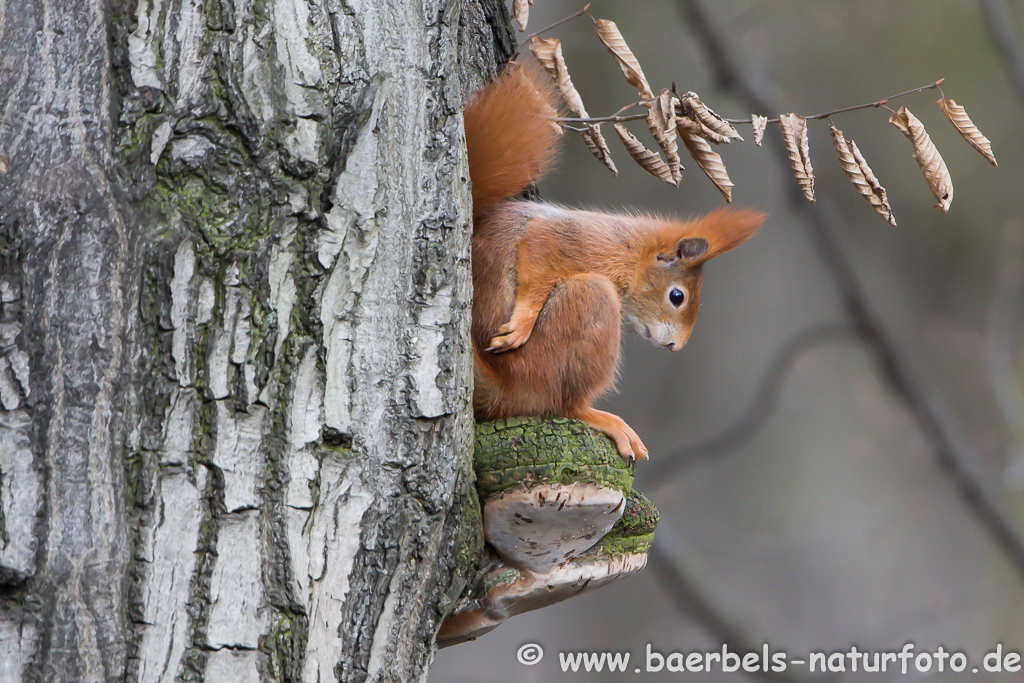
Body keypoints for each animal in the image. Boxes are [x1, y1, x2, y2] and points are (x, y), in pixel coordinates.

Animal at [464, 65, 761, 458]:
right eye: (677, 297)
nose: (675, 347)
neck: (633, 254)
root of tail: (507, 389)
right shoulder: (581, 242)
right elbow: (539, 255)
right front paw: (521, 325)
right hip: (576, 319)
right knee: (561, 402)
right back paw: (598, 416)